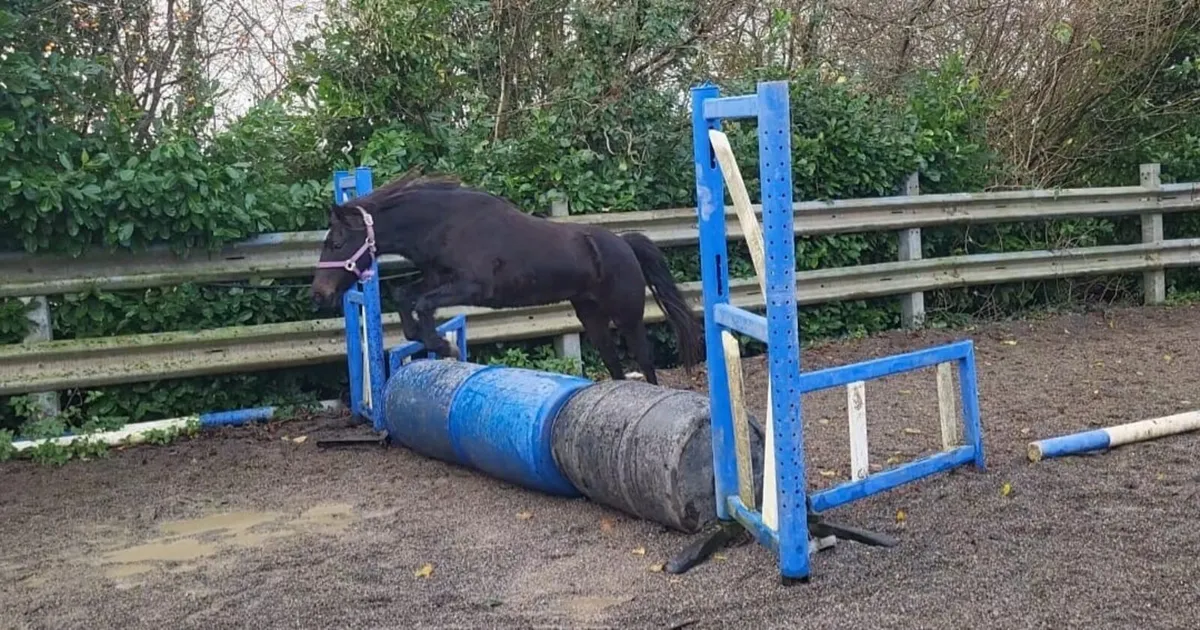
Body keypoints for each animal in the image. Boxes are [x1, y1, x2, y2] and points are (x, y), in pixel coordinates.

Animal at [309, 169, 705, 386]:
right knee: (613, 362)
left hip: (627, 315)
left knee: (644, 359)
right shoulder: (437, 278)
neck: (444, 224)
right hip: (590, 315)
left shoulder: (473, 287)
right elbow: (406, 296)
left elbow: (421, 303)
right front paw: (427, 340)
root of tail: (624, 243)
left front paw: (444, 346)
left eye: (336, 242)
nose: (318, 294)